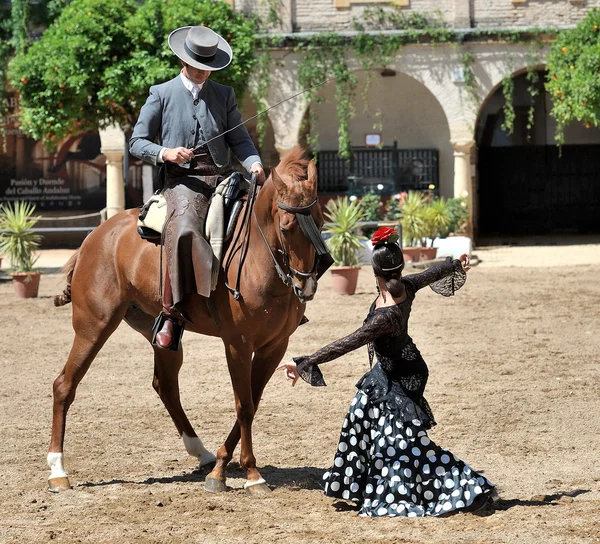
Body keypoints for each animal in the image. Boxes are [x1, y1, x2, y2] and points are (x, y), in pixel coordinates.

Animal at [49, 147, 326, 496]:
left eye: (320, 221)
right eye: (287, 227)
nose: (307, 286)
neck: (258, 259)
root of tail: (95, 237)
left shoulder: (274, 347)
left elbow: (252, 400)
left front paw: (221, 466)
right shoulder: (237, 345)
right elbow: (244, 405)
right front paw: (251, 474)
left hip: (161, 333)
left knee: (165, 385)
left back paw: (202, 452)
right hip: (94, 327)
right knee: (64, 385)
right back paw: (57, 471)